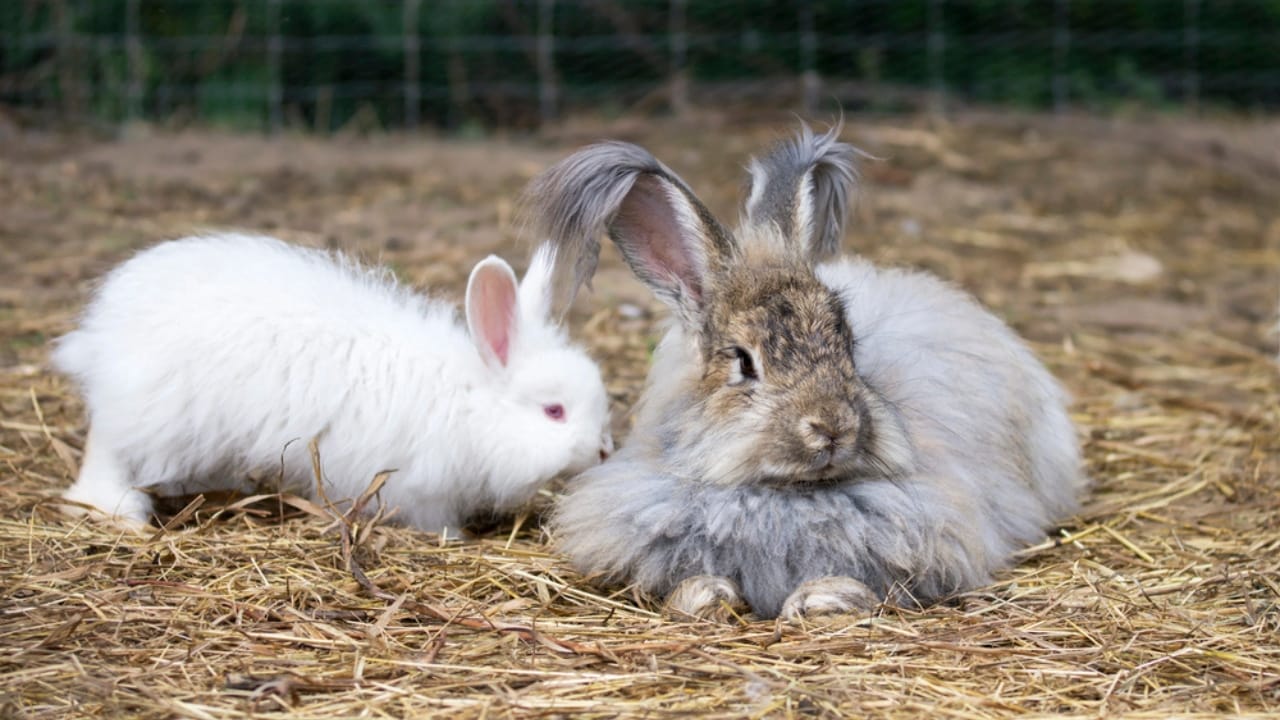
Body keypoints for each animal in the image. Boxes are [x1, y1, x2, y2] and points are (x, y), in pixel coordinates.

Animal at [53, 233, 613, 536]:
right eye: (554, 411)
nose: (604, 450)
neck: (470, 401)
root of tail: (103, 330)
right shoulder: (415, 479)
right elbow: (430, 515)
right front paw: (454, 537)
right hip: (153, 414)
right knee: (108, 452)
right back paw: (116, 509)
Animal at [525, 126, 1088, 620]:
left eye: (848, 345)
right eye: (743, 361)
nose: (832, 427)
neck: (784, 494)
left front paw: (817, 602)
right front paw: (706, 598)